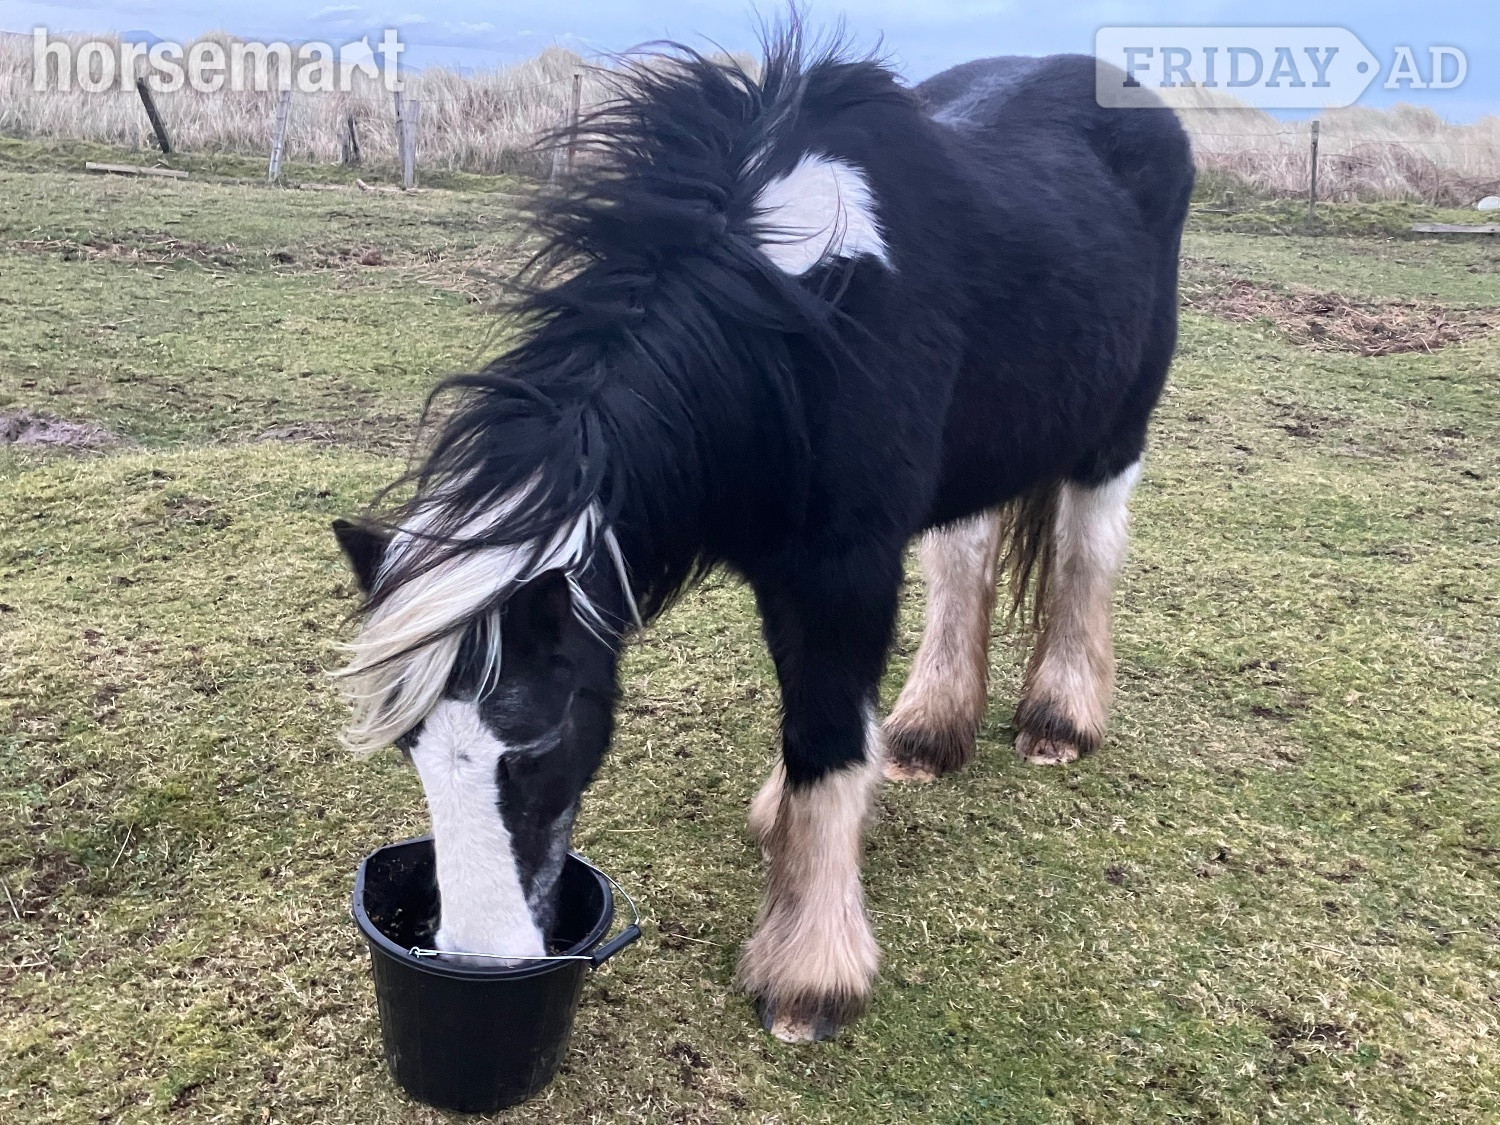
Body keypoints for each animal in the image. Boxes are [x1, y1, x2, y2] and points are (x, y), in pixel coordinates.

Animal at [332, 30, 1193, 1043]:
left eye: (536, 743)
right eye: (412, 747)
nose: (480, 962)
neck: (793, 327)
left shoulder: (842, 569)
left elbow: (825, 737)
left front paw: (810, 973)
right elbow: (812, 720)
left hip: (1114, 435)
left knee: (1087, 554)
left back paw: (1060, 719)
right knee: (965, 558)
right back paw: (929, 732)